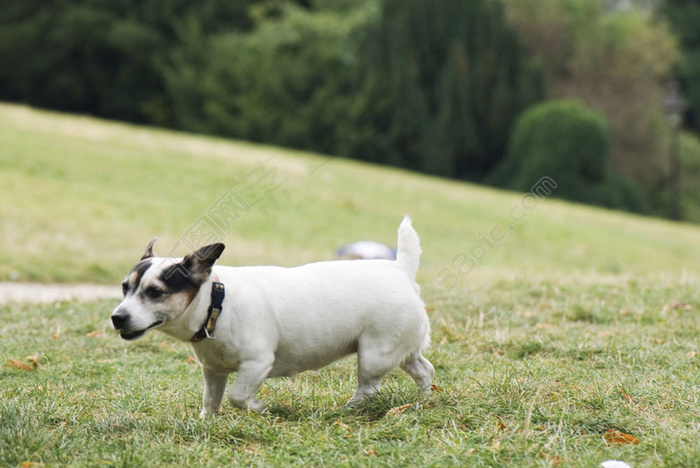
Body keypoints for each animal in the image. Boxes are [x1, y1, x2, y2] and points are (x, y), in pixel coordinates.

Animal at [110, 216, 432, 416]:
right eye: (125, 288)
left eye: (155, 292)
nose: (117, 317)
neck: (217, 303)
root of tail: (400, 269)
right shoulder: (213, 371)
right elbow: (211, 400)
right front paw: (206, 422)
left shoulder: (257, 363)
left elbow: (237, 396)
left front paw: (259, 408)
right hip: (402, 351)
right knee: (424, 370)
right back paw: (423, 402)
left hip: (374, 354)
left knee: (369, 388)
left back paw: (348, 409)